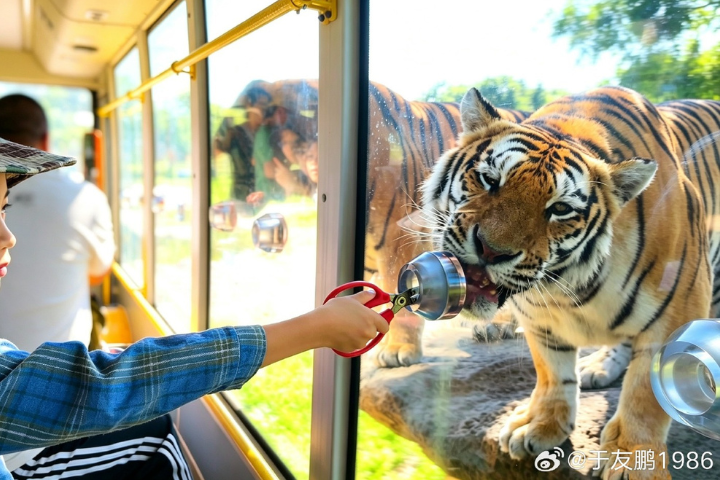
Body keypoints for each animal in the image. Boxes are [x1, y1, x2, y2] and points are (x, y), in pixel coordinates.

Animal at [419, 85, 720, 479]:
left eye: (560, 209)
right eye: (490, 180)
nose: (490, 250)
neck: (566, 284)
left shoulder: (679, 305)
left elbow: (646, 391)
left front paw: (633, 458)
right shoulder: (538, 317)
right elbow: (552, 369)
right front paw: (541, 424)